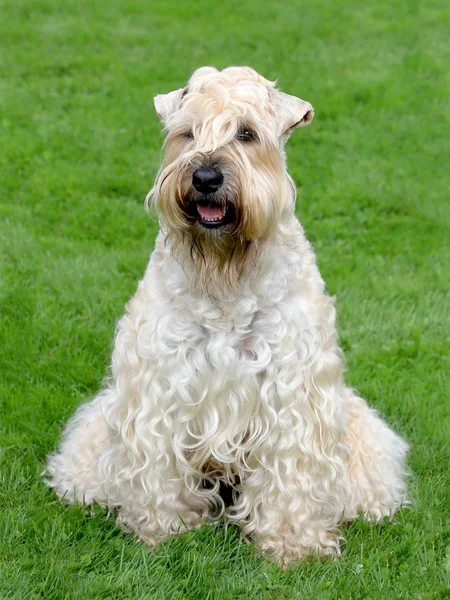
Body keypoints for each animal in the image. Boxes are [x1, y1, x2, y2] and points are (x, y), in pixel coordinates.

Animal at [44, 68, 408, 564]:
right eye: (187, 132)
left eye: (247, 133)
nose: (205, 176)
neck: (225, 275)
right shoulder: (158, 385)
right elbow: (157, 466)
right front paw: (162, 530)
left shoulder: (293, 394)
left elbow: (291, 475)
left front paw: (293, 546)